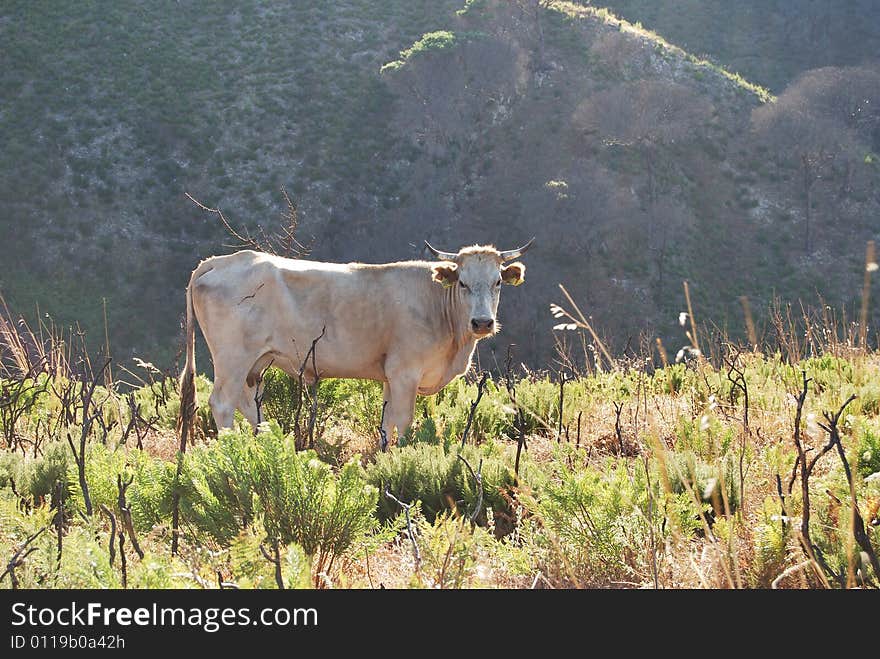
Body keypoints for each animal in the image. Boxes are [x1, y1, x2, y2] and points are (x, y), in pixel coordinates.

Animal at [176, 238, 532, 448]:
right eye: (462, 283)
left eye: (498, 282)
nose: (482, 322)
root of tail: (219, 261)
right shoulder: (405, 373)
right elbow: (403, 423)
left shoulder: (390, 376)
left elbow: (387, 424)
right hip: (232, 358)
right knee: (222, 403)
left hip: (255, 362)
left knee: (247, 402)